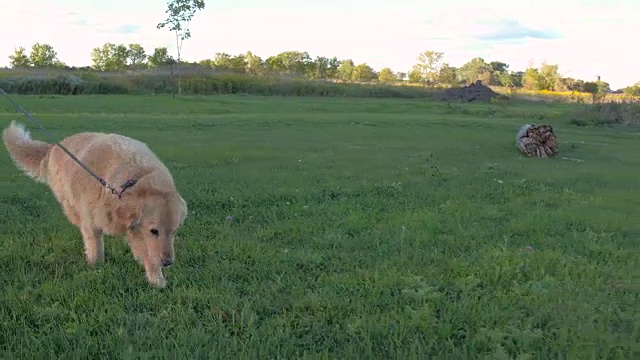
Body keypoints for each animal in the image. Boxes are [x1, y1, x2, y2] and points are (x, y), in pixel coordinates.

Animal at [1, 122, 188, 288]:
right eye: (154, 231)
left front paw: (157, 280)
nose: (168, 262)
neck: (133, 181)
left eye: (174, 231)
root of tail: (54, 146)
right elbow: (96, 248)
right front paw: (96, 268)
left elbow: (148, 253)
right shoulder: (94, 222)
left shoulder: (136, 231)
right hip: (69, 202)